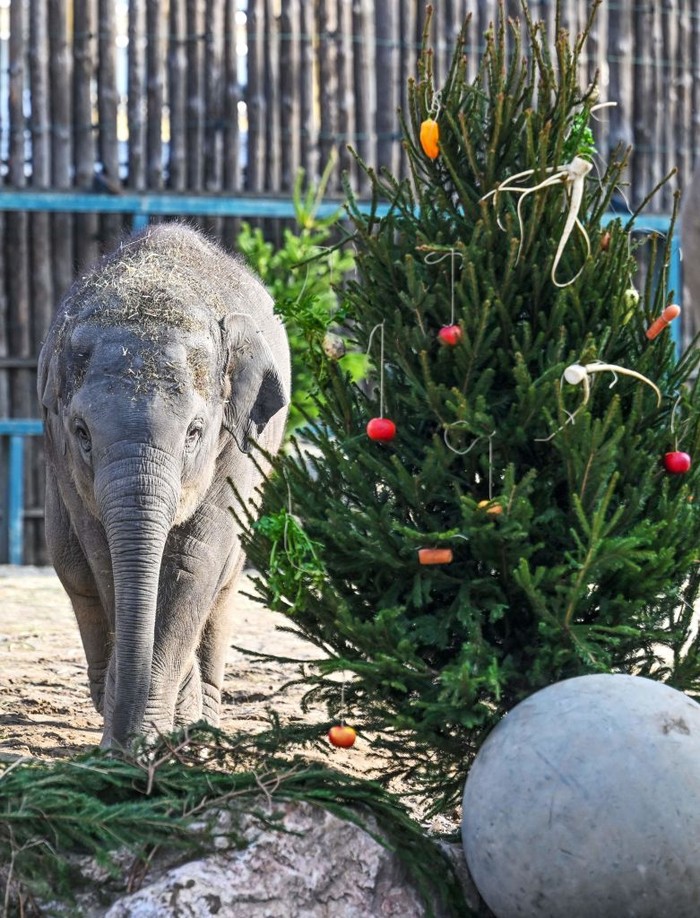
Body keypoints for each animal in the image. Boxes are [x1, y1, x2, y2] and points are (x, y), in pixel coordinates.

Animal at [38, 223, 290, 749]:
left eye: (195, 432)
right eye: (82, 432)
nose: (125, 740)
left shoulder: (235, 447)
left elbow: (193, 562)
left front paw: (159, 731)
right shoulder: (64, 453)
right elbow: (105, 559)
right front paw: (131, 735)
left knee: (225, 584)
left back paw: (204, 722)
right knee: (73, 570)